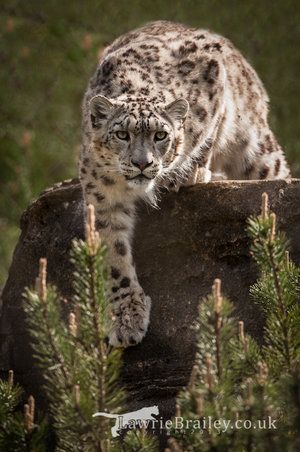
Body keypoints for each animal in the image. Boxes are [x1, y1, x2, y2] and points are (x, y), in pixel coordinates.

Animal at [79, 20, 290, 346]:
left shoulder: (215, 79)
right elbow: (114, 256)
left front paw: (191, 171)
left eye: (160, 135)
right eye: (122, 135)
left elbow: (208, 131)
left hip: (257, 150)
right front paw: (127, 318)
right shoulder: (102, 197)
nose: (142, 163)